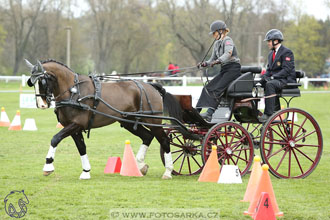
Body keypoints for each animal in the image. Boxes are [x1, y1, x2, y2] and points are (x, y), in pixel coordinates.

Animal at [25, 59, 183, 180]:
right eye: (31, 83)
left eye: (42, 81)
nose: (41, 105)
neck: (74, 92)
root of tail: (151, 86)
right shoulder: (73, 127)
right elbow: (81, 147)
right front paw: (86, 172)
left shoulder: (76, 124)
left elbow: (55, 138)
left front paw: (48, 166)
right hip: (129, 122)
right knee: (147, 137)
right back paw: (140, 166)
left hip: (153, 121)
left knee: (164, 140)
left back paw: (168, 171)